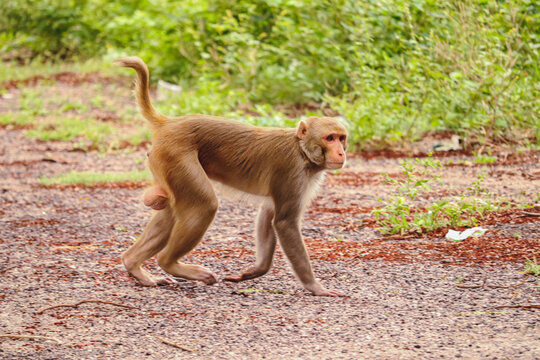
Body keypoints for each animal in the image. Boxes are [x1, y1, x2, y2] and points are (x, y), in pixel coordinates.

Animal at [116, 56, 348, 296]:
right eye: (329, 138)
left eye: (342, 138)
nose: (341, 152)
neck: (301, 150)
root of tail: (170, 123)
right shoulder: (292, 172)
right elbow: (284, 222)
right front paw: (315, 287)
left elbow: (268, 214)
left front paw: (254, 272)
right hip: (175, 155)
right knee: (203, 205)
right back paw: (168, 263)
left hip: (165, 162)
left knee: (172, 209)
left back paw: (134, 264)